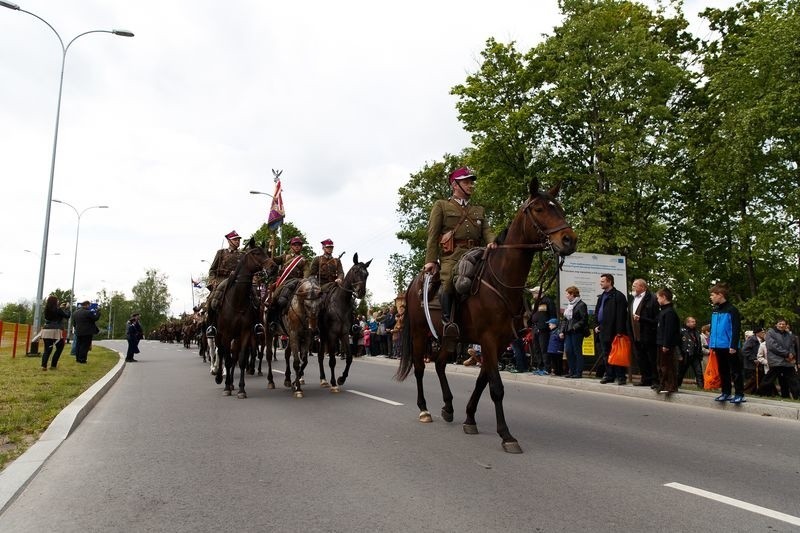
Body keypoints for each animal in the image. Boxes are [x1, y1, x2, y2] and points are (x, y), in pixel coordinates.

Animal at [212, 239, 278, 396]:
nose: (274, 267)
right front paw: (226, 386)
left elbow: (241, 359)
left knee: (235, 355)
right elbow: (227, 359)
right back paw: (220, 376)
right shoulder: (226, 334)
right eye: (256, 253)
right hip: (219, 334)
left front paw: (241, 388)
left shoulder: (246, 332)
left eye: (267, 252)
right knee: (221, 352)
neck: (238, 301)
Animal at [318, 251, 370, 392]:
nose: (361, 292)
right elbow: (332, 360)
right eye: (355, 271)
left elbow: (350, 357)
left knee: (320, 356)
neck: (341, 303)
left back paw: (323, 379)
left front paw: (341, 378)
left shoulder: (344, 334)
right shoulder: (332, 335)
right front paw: (334, 383)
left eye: (367, 274)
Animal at [396, 177, 580, 450]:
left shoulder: (499, 342)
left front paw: (470, 418)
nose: (569, 240)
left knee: (439, 364)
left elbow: (483, 382)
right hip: (420, 333)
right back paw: (424, 409)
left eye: (559, 207)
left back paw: (448, 407)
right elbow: (496, 387)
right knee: (419, 367)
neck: (502, 280)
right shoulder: (489, 340)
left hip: (449, 337)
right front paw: (506, 434)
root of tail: (416, 280)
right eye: (539, 209)